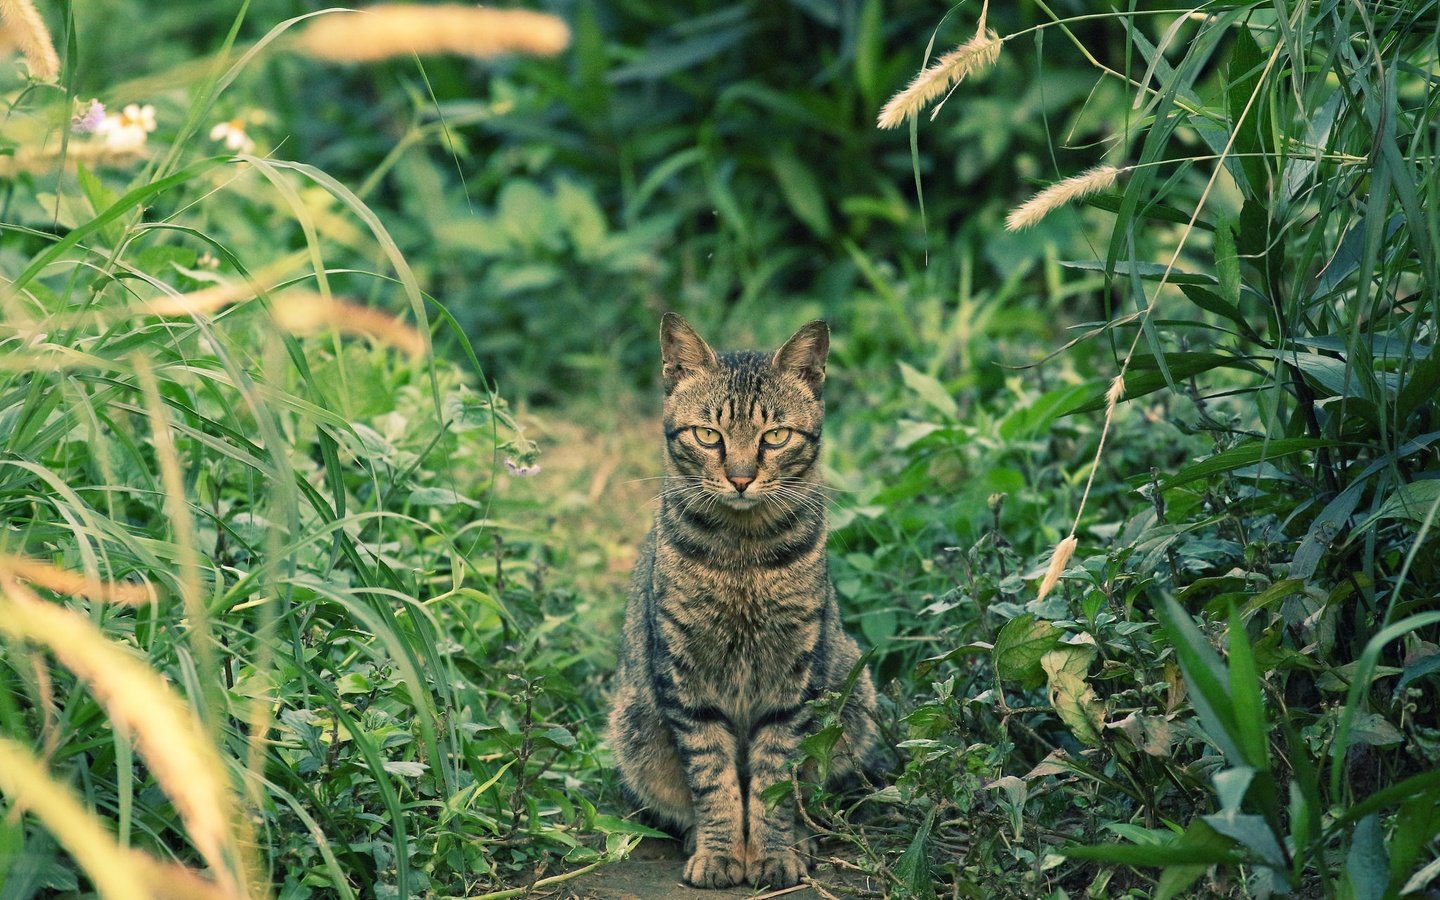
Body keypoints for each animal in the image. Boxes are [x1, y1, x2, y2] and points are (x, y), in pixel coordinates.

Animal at [604, 312, 875, 887]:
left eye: (775, 436)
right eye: (709, 435)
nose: (742, 478)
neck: (743, 558)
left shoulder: (794, 678)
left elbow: (774, 779)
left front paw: (772, 852)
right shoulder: (686, 679)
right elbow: (713, 778)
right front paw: (721, 852)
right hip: (634, 725)